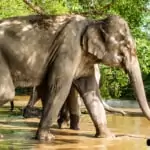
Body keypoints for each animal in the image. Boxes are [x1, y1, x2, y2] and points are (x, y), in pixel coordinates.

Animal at [0, 13, 149, 141]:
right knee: (8, 93)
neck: (93, 22)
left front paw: (108, 137)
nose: (145, 138)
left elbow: (90, 92)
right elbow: (59, 87)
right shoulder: (69, 49)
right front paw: (46, 138)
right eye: (127, 46)